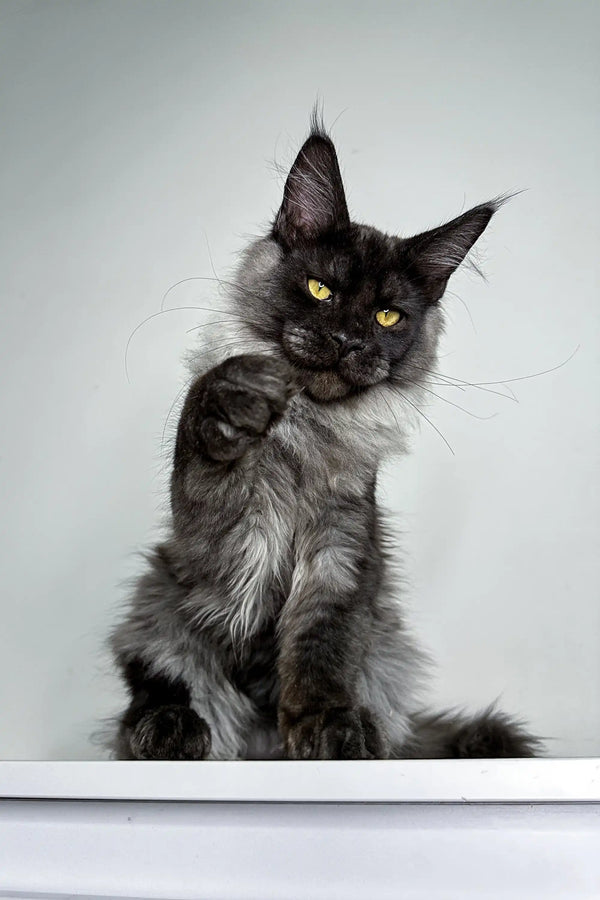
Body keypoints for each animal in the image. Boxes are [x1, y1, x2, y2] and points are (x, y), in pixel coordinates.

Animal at [108, 112, 540, 760]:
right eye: (321, 290)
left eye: (388, 316)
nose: (347, 341)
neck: (310, 433)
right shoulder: (222, 538)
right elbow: (204, 426)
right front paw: (239, 399)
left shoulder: (342, 547)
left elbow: (321, 650)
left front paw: (328, 727)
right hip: (158, 606)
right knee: (157, 685)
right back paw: (169, 727)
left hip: (383, 646)